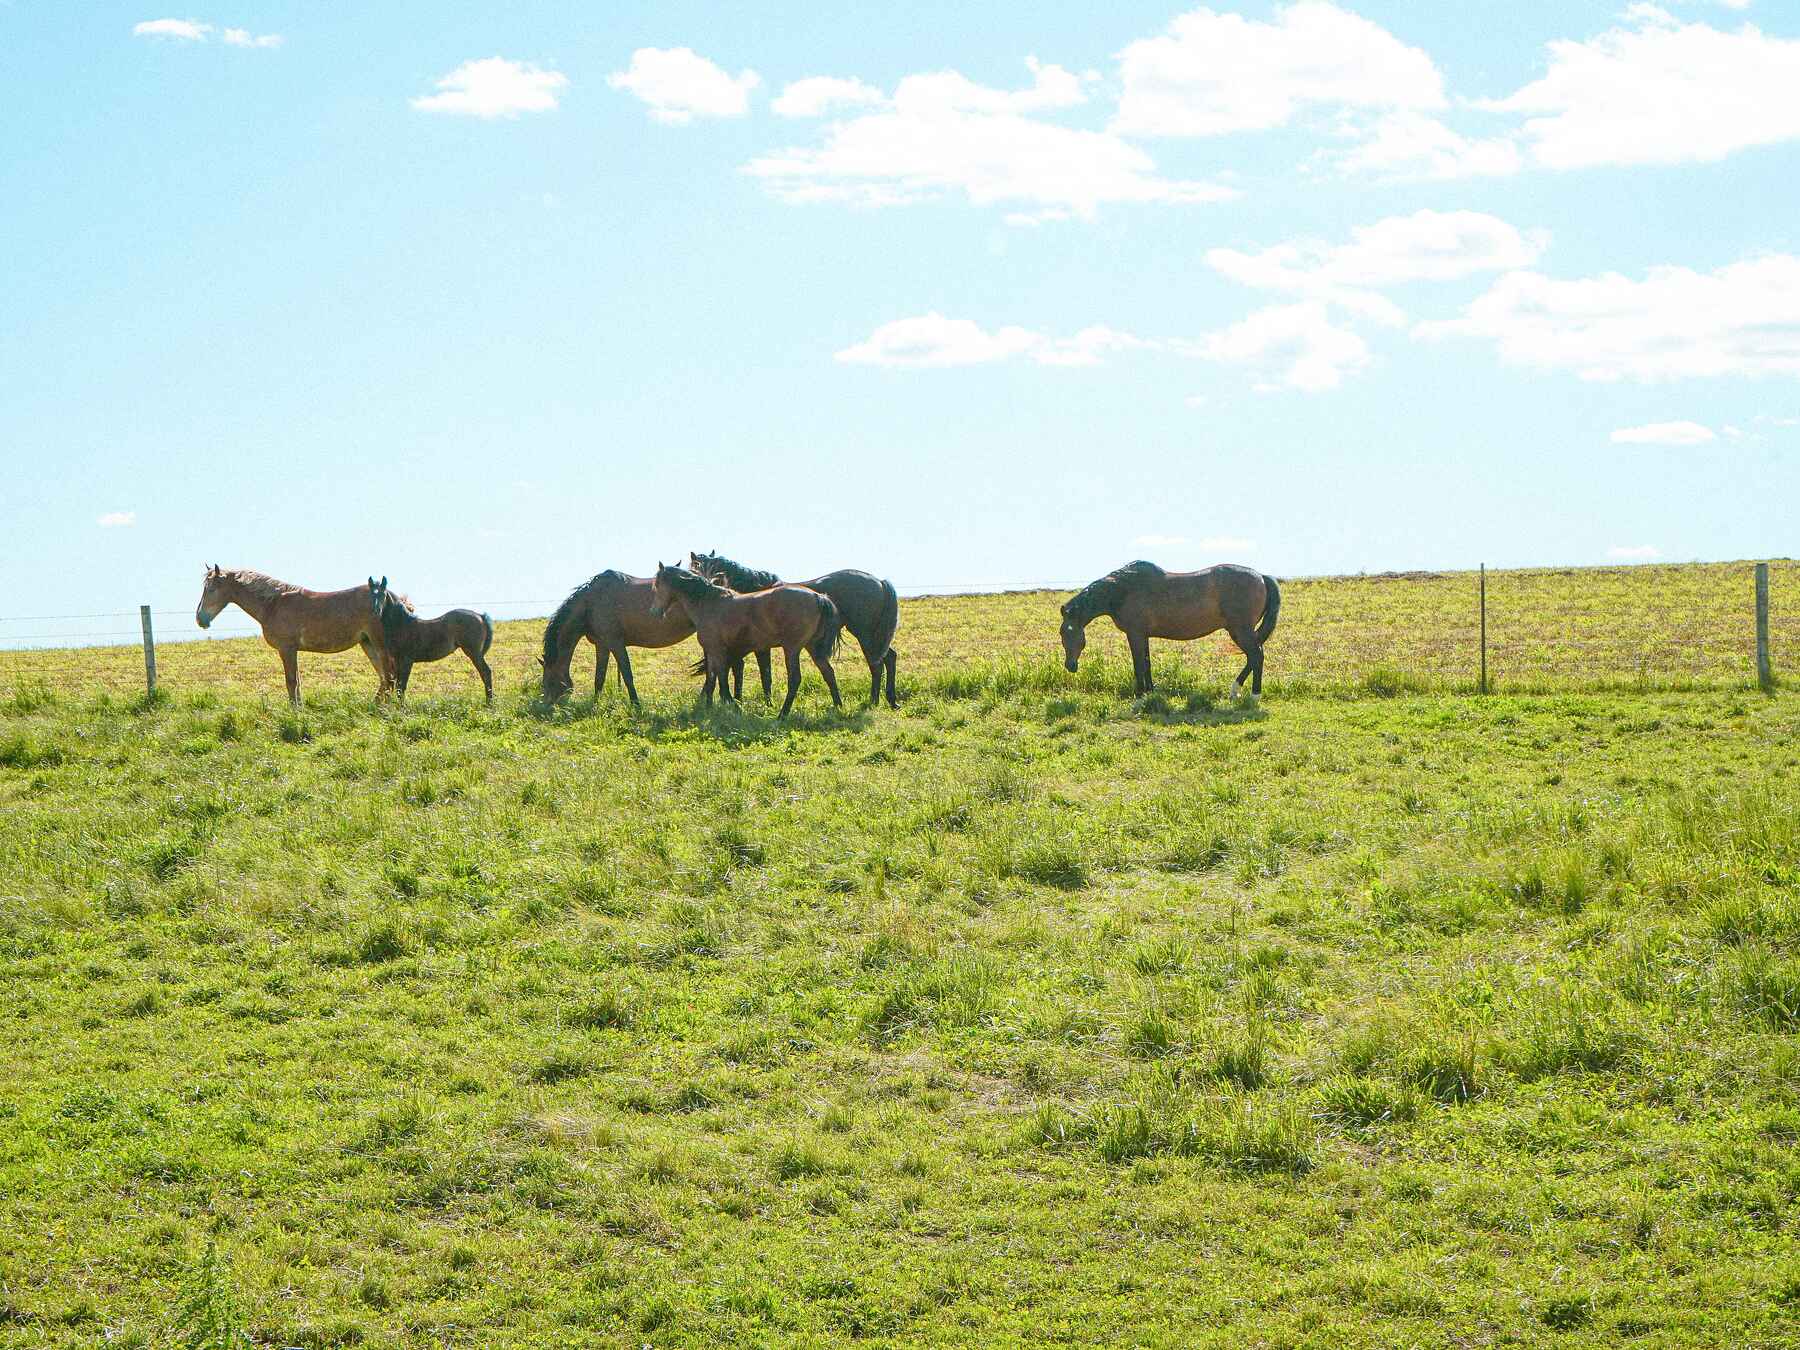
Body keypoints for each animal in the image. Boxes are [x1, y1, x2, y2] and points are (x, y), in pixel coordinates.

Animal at [194, 564, 393, 706]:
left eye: (211, 589)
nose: (200, 618)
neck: (273, 604)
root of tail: (389, 597)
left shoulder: (287, 649)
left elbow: (291, 682)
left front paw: (294, 712)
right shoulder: (291, 651)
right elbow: (297, 682)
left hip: (379, 644)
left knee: (389, 675)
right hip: (367, 643)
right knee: (384, 677)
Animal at [649, 563, 843, 719]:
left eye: (656, 584)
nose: (655, 612)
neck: (709, 603)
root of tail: (818, 597)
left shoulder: (717, 650)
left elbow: (721, 678)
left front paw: (732, 704)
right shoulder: (714, 652)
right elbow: (712, 679)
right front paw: (709, 707)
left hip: (792, 649)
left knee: (795, 679)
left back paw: (782, 715)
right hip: (813, 648)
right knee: (828, 673)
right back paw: (838, 707)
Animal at [687, 550, 900, 708]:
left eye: (695, 567)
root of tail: (879, 581)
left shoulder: (757, 647)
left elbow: (761, 673)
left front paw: (764, 704)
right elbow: (737, 669)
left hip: (865, 634)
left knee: (876, 664)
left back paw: (873, 701)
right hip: (874, 636)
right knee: (889, 657)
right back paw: (891, 700)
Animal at [1060, 560, 1281, 698]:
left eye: (1066, 631)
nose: (1070, 666)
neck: (1123, 591)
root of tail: (1261, 576)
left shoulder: (1135, 634)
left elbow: (1138, 665)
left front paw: (1139, 695)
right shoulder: (1143, 636)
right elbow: (1146, 664)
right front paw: (1149, 691)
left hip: (1240, 630)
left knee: (1256, 656)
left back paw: (1253, 695)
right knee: (1254, 657)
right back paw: (1236, 691)